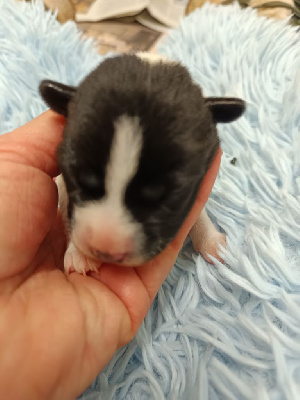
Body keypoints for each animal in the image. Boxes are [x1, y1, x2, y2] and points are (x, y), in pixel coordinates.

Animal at [39, 51, 245, 274]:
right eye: (80, 178)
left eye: (165, 195)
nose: (105, 250)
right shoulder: (63, 182)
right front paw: (78, 254)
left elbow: (199, 214)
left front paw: (212, 242)